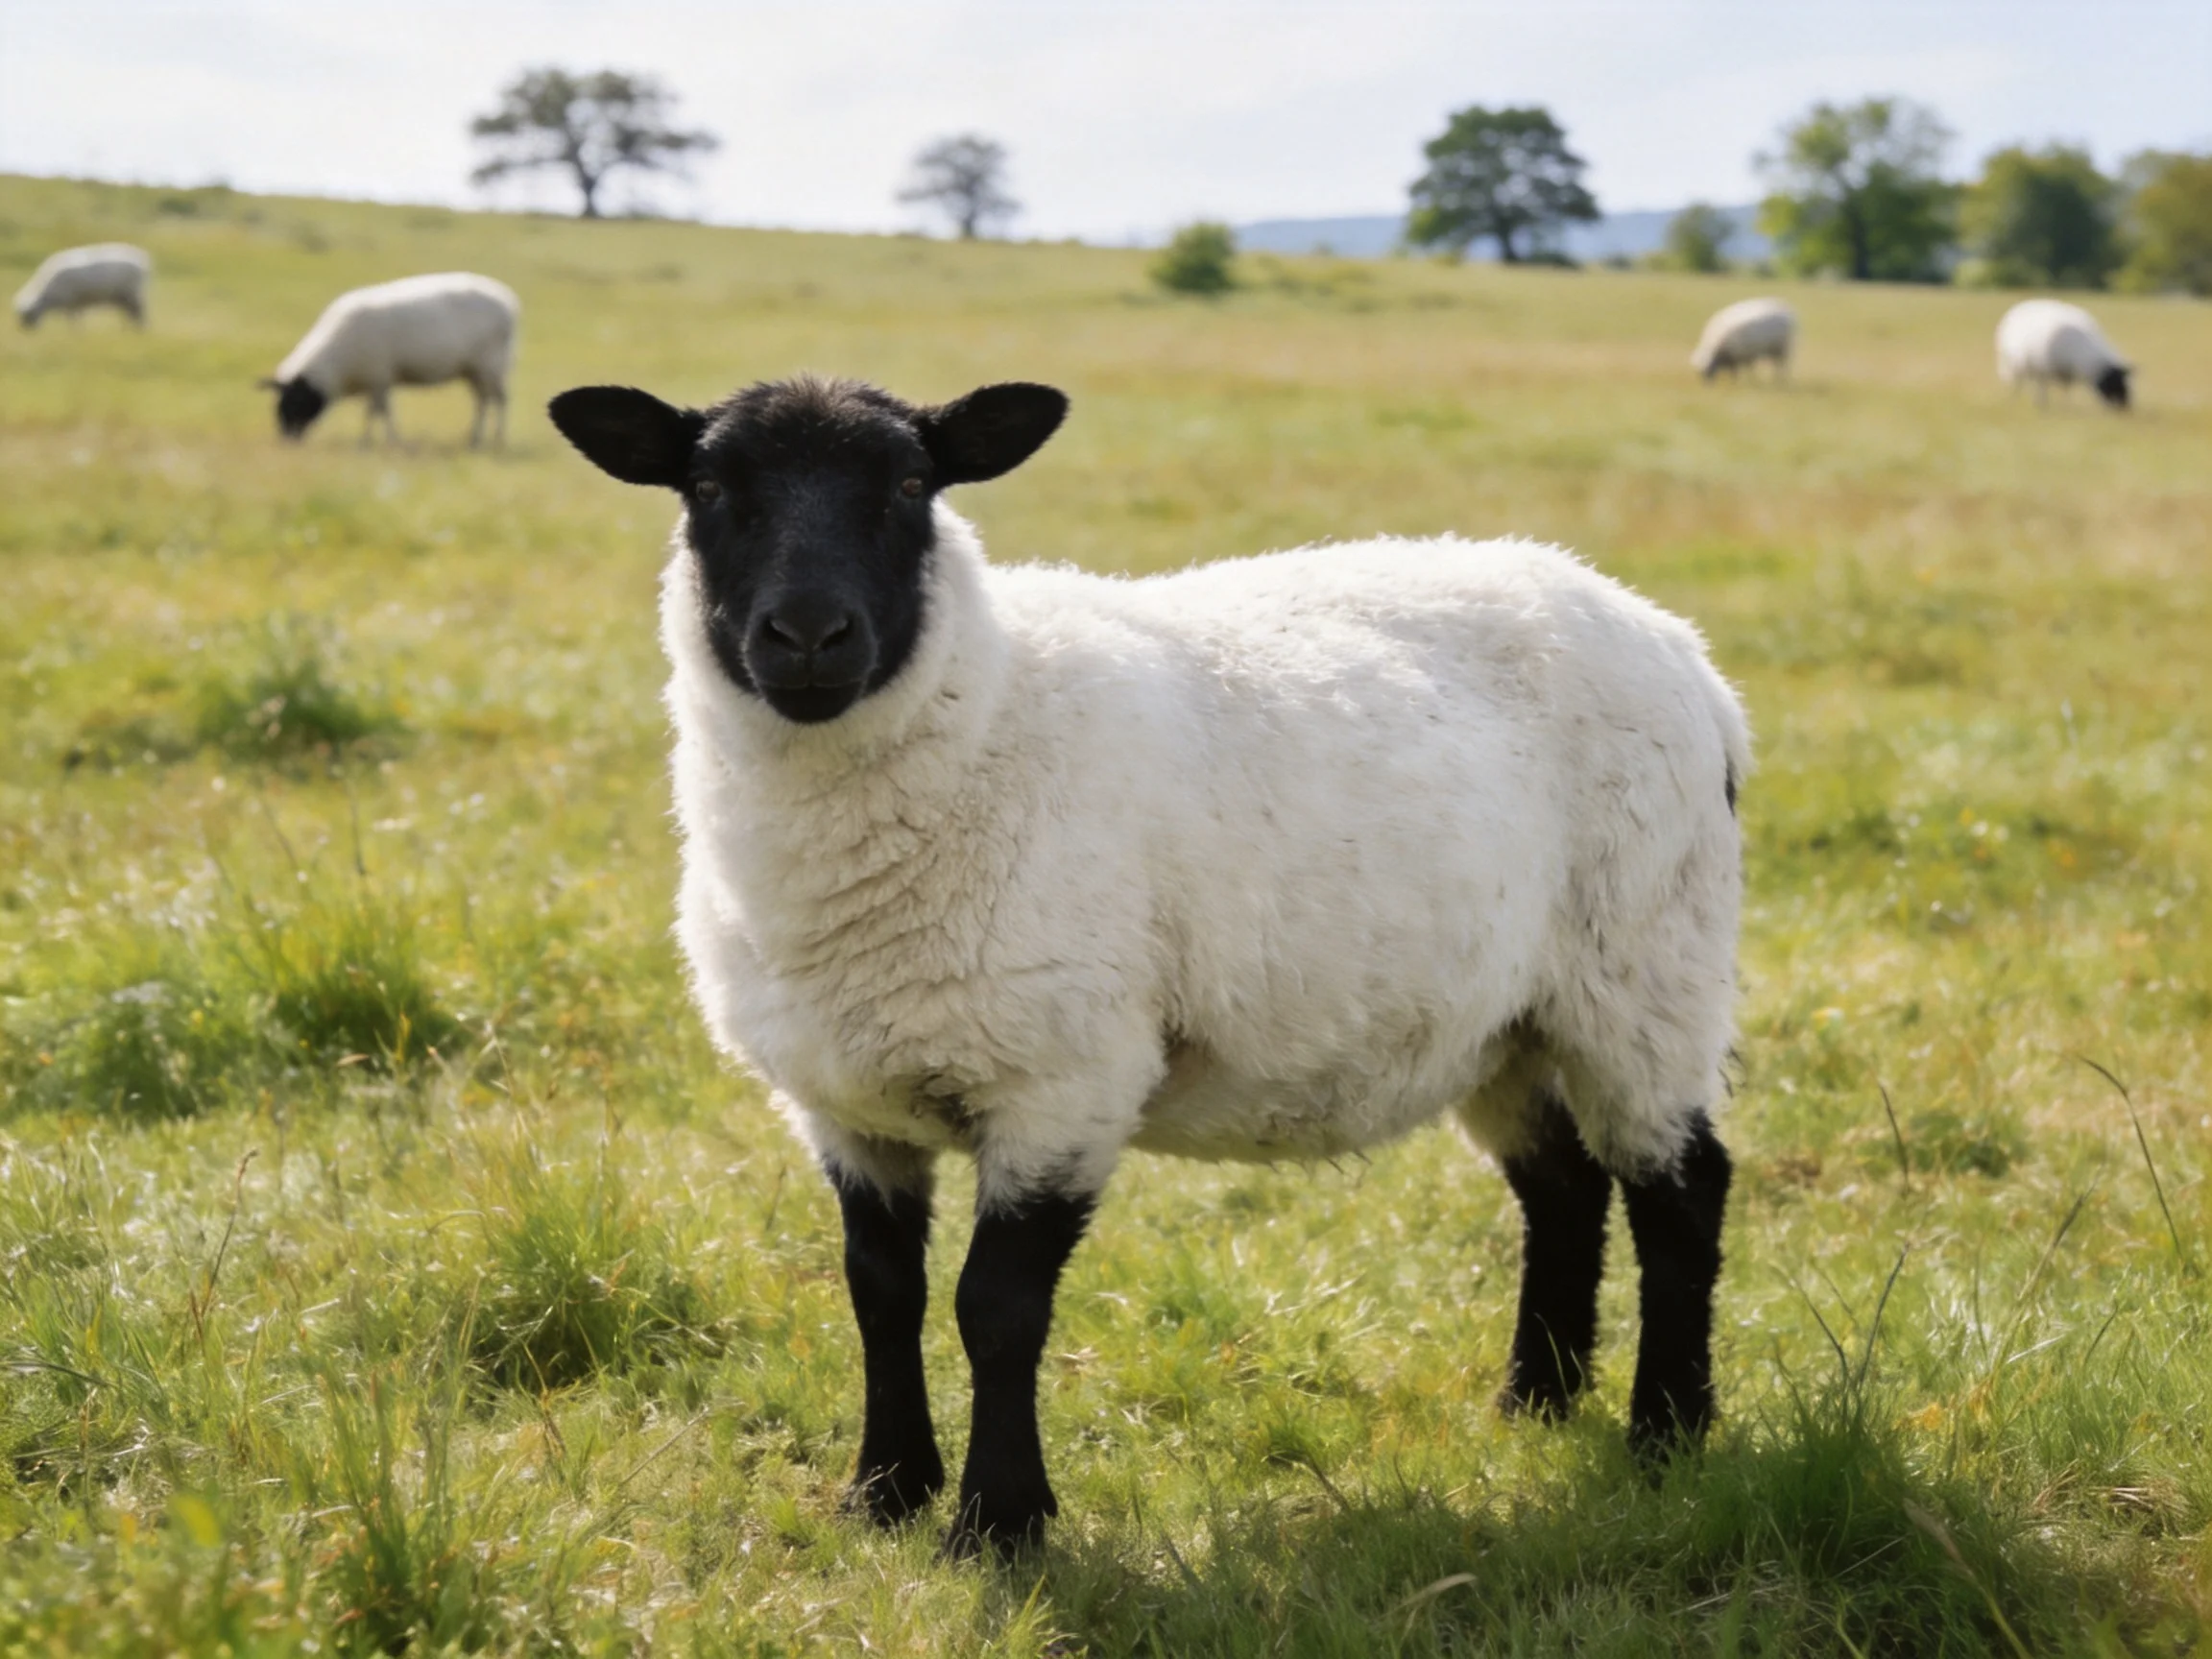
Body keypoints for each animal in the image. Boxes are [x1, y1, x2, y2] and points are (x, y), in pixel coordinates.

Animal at [14, 244, 151, 329]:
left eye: (26, 317)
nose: (28, 333)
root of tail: (143, 260)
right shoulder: (75, 303)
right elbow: (77, 318)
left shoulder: (70, 301)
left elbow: (73, 320)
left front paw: (75, 332)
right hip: (122, 297)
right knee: (131, 313)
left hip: (132, 294)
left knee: (140, 313)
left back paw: (140, 330)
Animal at [262, 272, 518, 446]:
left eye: (295, 402)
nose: (287, 440)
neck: (336, 362)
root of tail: (509, 301)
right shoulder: (377, 379)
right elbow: (378, 411)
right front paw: (377, 440)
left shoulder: (378, 376)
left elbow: (379, 412)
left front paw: (381, 441)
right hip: (474, 369)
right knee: (482, 401)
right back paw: (475, 438)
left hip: (493, 365)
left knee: (501, 400)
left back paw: (498, 438)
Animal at [548, 373, 1750, 1557]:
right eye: (708, 486)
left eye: (909, 484)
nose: (808, 635)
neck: (989, 713)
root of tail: (1685, 653)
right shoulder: (848, 1106)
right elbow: (880, 1293)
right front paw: (884, 1493)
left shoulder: (1064, 1080)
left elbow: (994, 1308)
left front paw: (999, 1522)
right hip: (1505, 1019)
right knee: (1563, 1187)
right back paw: (1535, 1404)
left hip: (1649, 967)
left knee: (1681, 1192)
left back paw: (1667, 1434)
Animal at [1996, 298, 2130, 409]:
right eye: (2113, 381)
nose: (2124, 409)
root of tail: (2018, 307)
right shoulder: (2044, 369)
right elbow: (2044, 388)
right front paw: (2043, 405)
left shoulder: (2066, 372)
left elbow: (2067, 390)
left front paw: (2067, 405)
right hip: (2013, 365)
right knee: (2017, 384)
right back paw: (2016, 399)